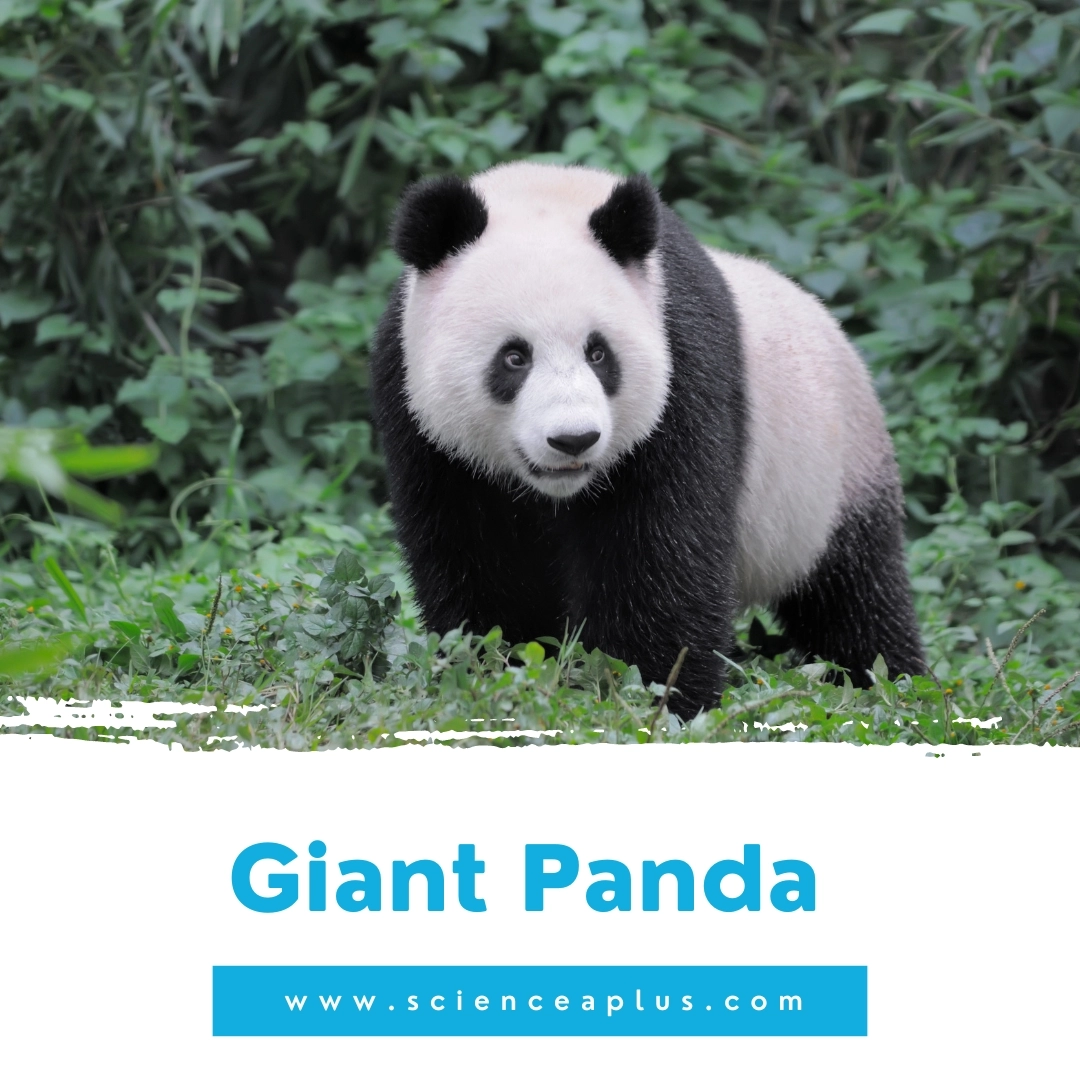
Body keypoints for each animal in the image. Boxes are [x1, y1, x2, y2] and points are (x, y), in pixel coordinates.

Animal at [370, 162, 925, 714]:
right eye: (514, 357)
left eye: (598, 353)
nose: (573, 439)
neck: (540, 194)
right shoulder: (418, 416)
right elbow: (477, 559)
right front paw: (494, 674)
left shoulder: (683, 369)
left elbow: (663, 555)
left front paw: (656, 695)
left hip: (832, 473)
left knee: (854, 595)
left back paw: (890, 682)